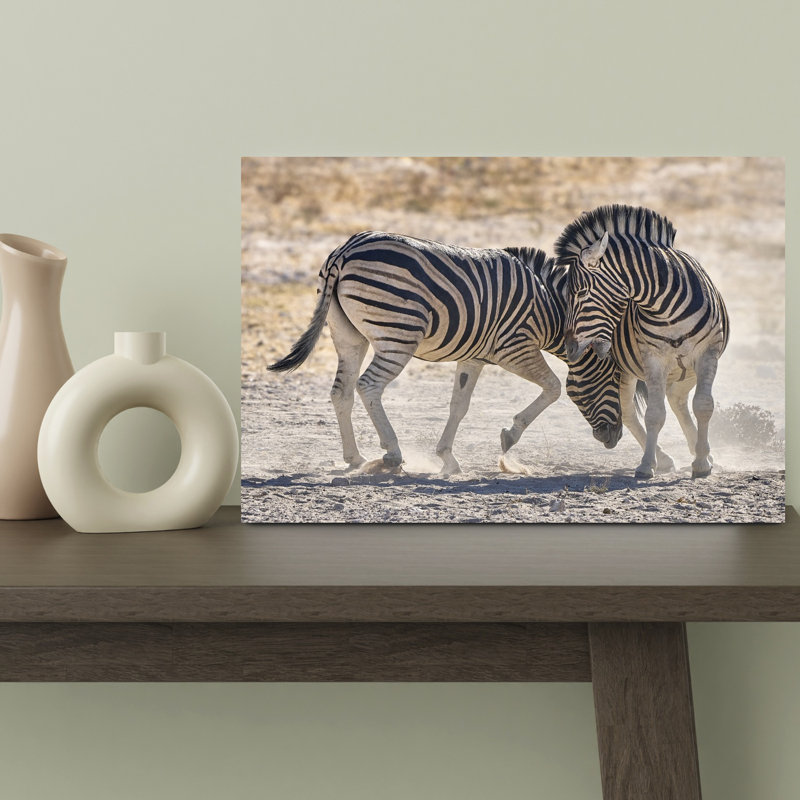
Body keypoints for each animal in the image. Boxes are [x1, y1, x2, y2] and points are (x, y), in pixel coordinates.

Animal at [269, 230, 623, 474]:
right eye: (616, 381)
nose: (615, 438)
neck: (552, 309)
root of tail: (344, 251)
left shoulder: (473, 357)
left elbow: (458, 406)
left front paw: (448, 459)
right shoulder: (515, 347)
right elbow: (553, 387)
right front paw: (508, 436)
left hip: (348, 335)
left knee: (341, 391)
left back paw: (355, 458)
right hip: (399, 334)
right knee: (368, 386)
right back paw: (393, 454)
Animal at [554, 204, 729, 479]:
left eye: (581, 293)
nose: (570, 349)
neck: (666, 309)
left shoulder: (707, 354)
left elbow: (703, 405)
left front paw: (702, 464)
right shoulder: (653, 360)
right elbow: (654, 415)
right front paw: (647, 465)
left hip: (687, 369)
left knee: (679, 400)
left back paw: (703, 453)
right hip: (629, 371)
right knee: (632, 411)